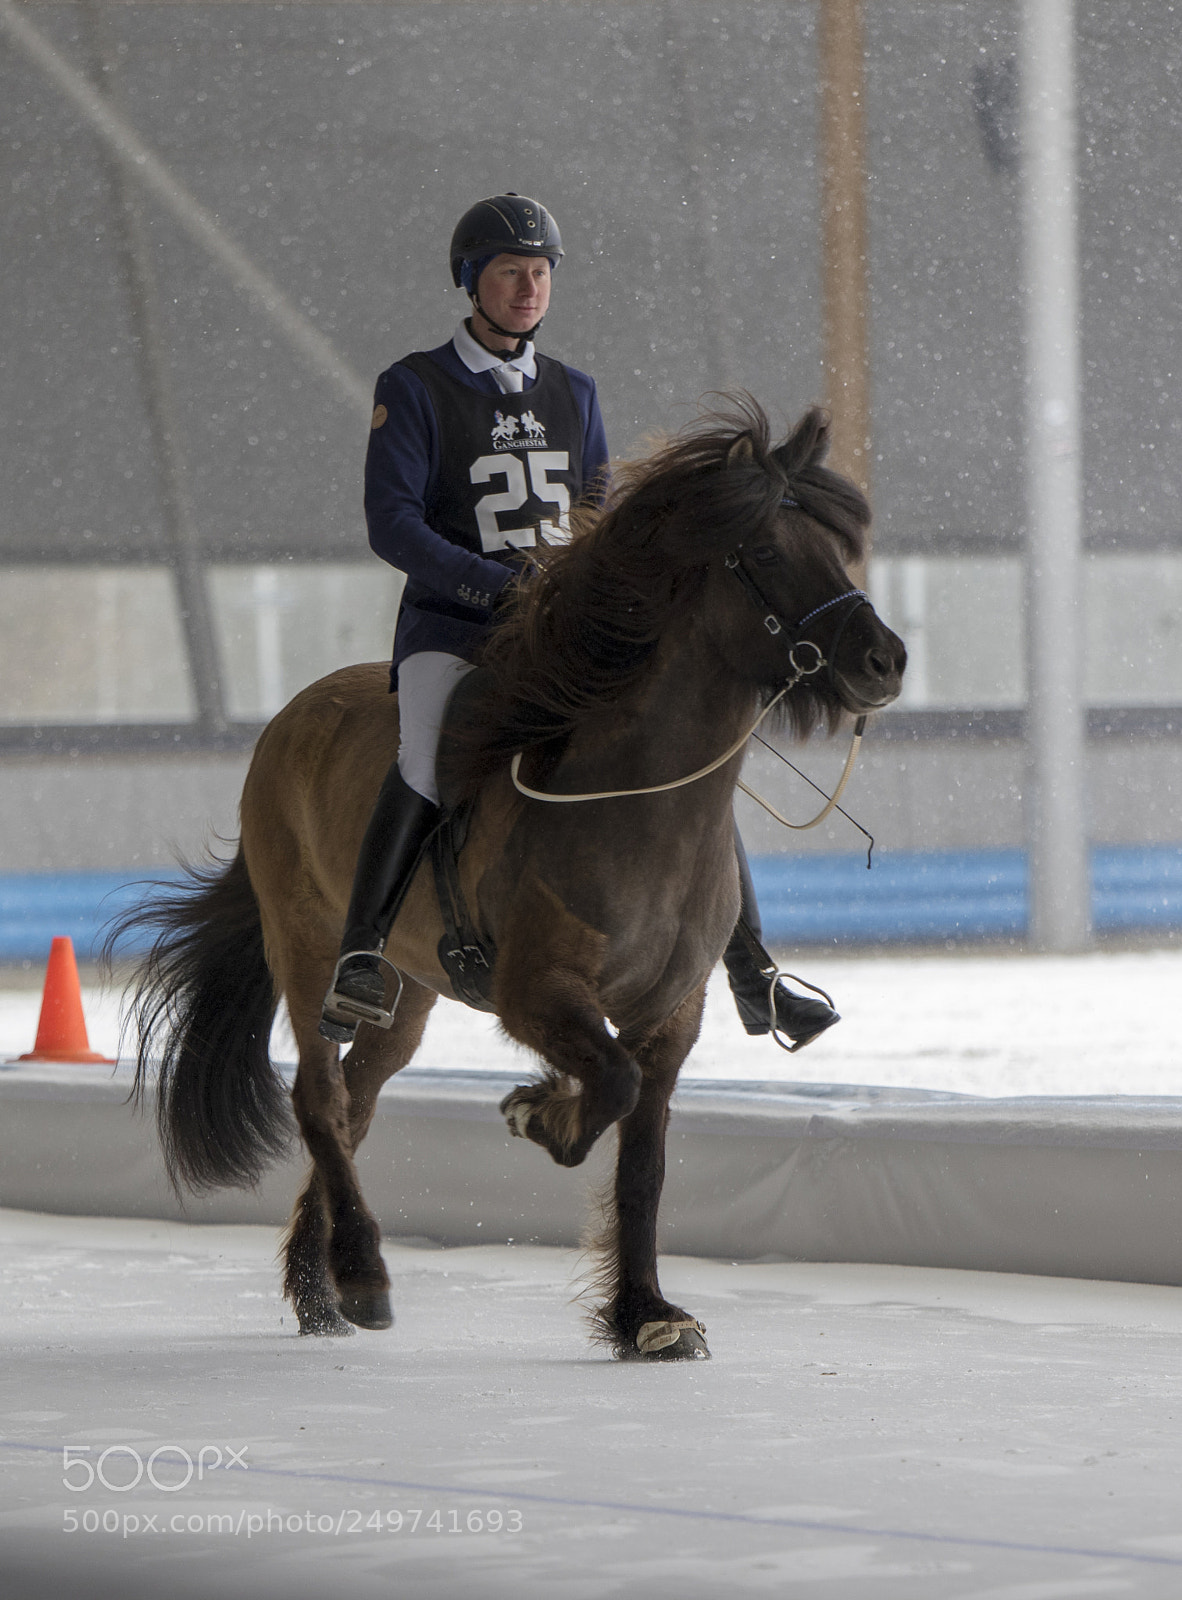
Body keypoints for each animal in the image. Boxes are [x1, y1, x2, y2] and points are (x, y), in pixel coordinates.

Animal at [115, 398, 906, 1361]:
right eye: (761, 552)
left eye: (832, 547)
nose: (885, 661)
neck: (639, 804)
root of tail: (288, 720)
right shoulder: (537, 994)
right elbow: (610, 1085)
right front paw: (541, 1112)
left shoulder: (670, 1016)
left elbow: (643, 1160)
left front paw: (646, 1314)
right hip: (305, 950)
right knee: (317, 1095)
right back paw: (361, 1271)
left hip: (408, 995)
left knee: (353, 1105)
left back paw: (320, 1287)